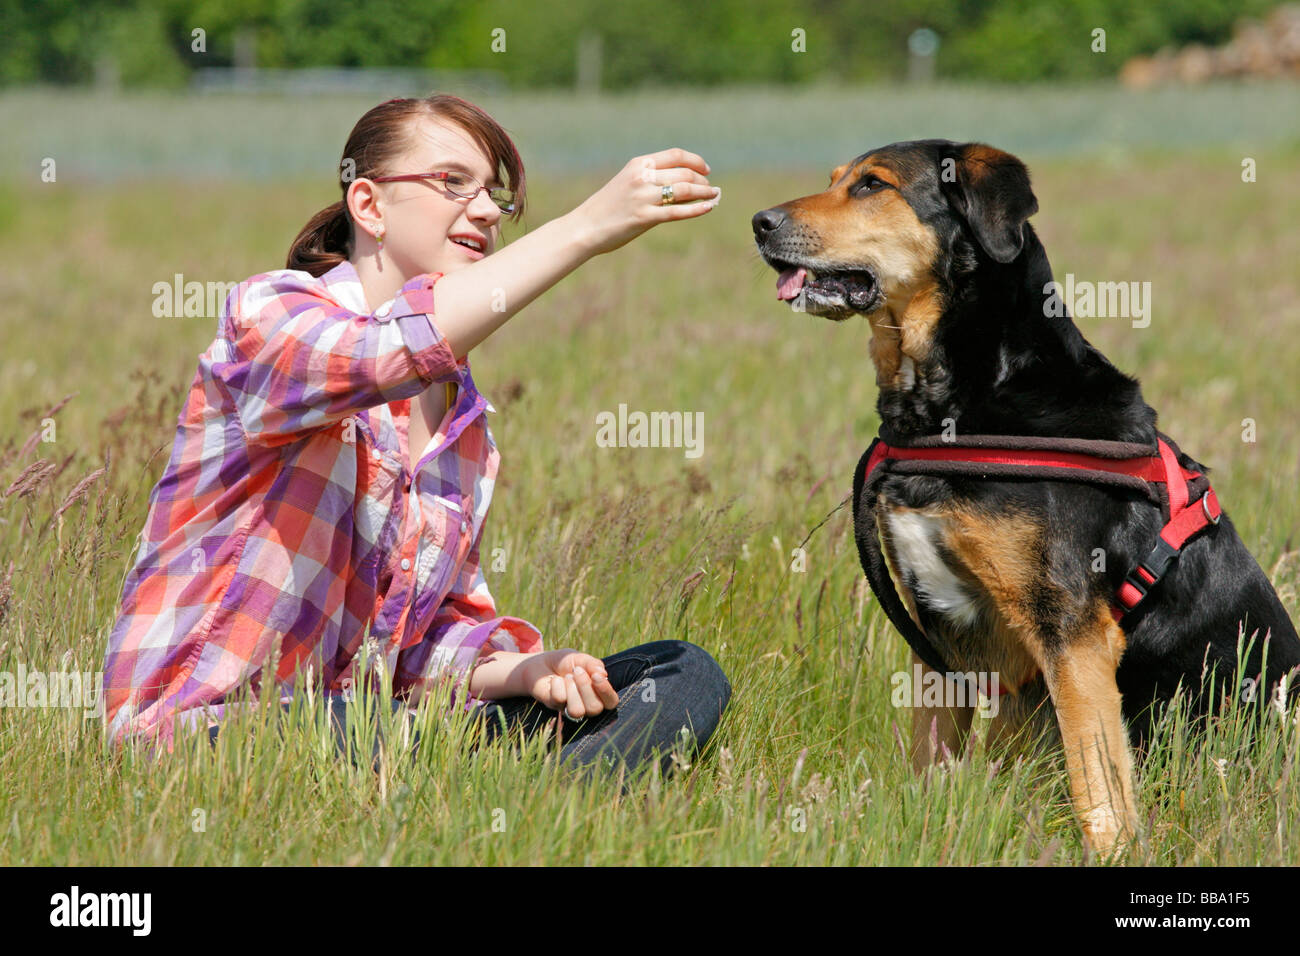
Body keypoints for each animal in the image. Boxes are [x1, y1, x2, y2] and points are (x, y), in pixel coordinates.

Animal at [754, 138, 1300, 858]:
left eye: (872, 186)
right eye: (835, 180)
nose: (758, 223)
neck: (952, 406)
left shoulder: (1072, 634)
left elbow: (1098, 782)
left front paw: (1114, 853)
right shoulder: (937, 632)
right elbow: (933, 757)